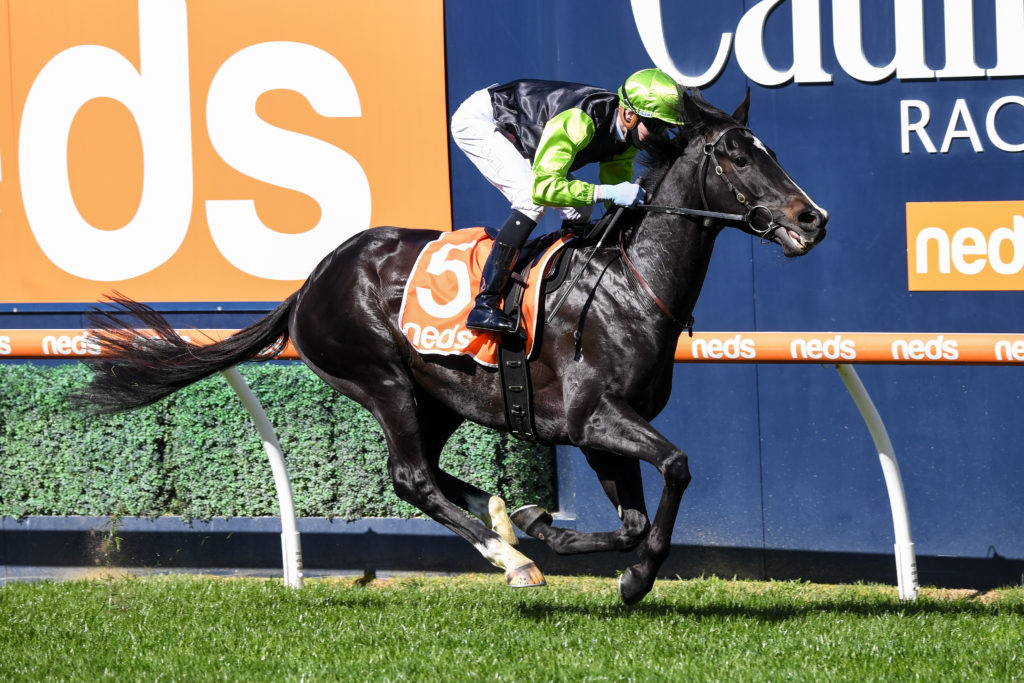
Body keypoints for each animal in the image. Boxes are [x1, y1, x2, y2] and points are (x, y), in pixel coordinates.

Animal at [73, 89, 827, 605]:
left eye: (772, 152)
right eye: (737, 156)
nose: (811, 217)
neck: (627, 286)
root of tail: (312, 280)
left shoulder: (602, 430)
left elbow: (633, 520)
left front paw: (552, 526)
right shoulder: (592, 418)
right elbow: (675, 469)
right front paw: (631, 578)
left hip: (436, 395)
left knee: (430, 474)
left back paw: (505, 520)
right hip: (381, 380)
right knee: (410, 476)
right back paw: (512, 556)